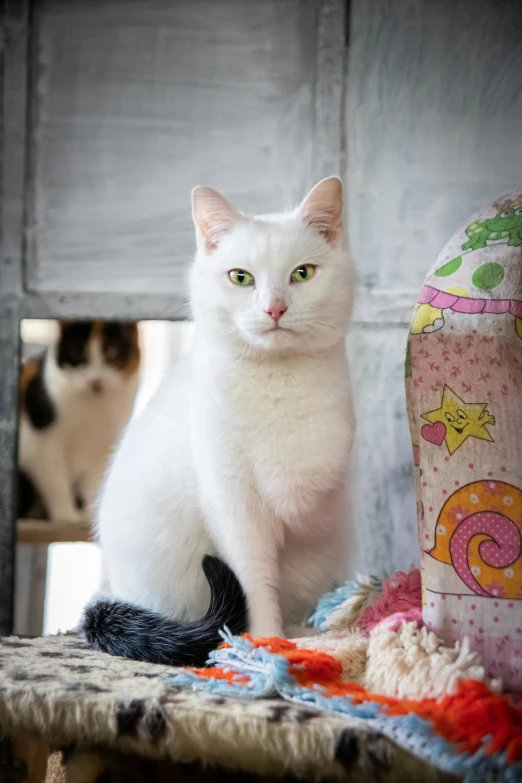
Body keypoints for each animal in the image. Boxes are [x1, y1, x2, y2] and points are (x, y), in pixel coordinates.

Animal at [18, 322, 140, 524]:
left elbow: (93, 485)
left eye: (112, 355)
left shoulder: (102, 449)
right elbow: (55, 481)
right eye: (77, 354)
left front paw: (92, 516)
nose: (96, 381)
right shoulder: (40, 446)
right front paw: (66, 514)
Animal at [84, 179, 354, 668]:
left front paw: (298, 636)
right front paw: (265, 644)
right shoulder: (234, 505)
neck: (277, 383)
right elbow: (256, 583)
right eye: (240, 277)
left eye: (303, 273)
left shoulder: (315, 494)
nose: (275, 309)